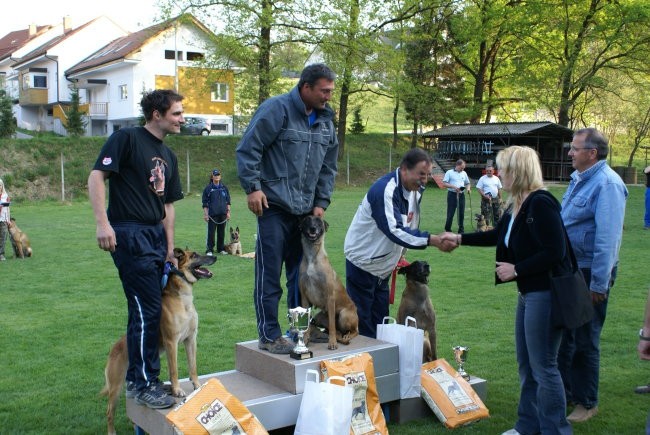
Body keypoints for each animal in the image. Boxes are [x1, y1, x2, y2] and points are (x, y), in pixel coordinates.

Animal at [99, 249, 215, 435]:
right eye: (194, 255)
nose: (215, 256)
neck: (183, 299)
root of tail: (114, 348)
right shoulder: (171, 342)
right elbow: (174, 371)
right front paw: (177, 390)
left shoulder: (191, 339)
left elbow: (193, 366)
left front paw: (197, 385)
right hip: (115, 387)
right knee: (109, 412)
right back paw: (112, 431)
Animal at [298, 215, 360, 350]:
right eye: (307, 220)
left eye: (318, 221)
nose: (313, 228)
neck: (312, 257)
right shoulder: (304, 298)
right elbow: (306, 325)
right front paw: (305, 339)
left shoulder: (330, 298)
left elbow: (332, 325)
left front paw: (332, 343)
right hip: (319, 317)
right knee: (336, 330)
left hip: (344, 315)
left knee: (354, 331)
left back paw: (346, 336)